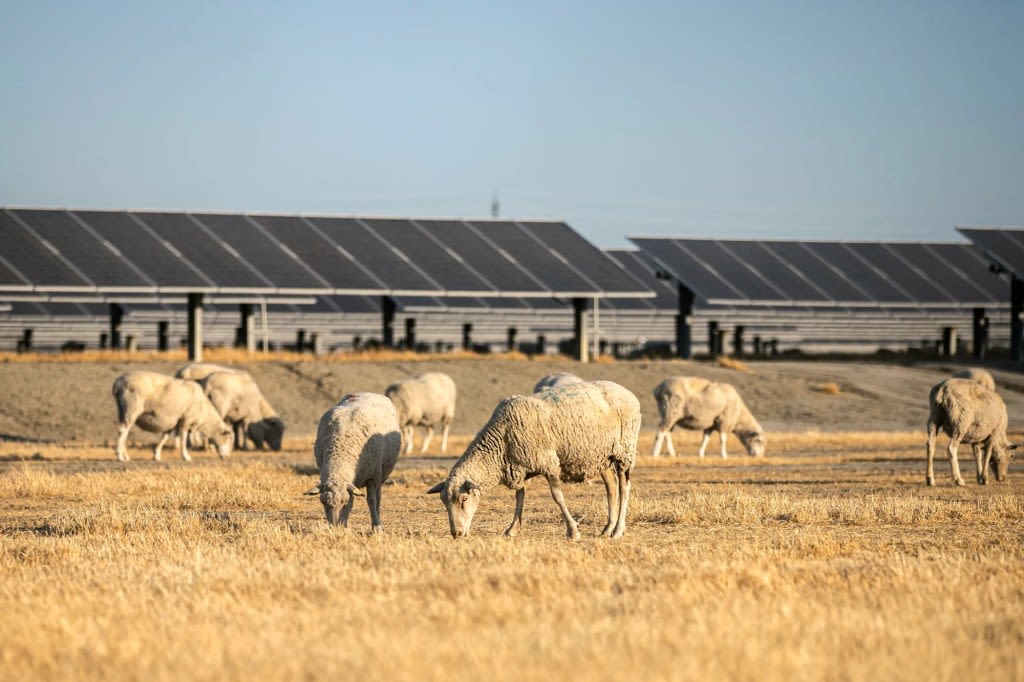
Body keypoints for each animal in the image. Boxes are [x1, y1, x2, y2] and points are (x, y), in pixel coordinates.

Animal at [301, 391, 401, 528]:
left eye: (344, 502)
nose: (334, 526)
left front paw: (376, 527)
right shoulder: (351, 483)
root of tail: (367, 392)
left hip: (381, 474)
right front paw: (344, 525)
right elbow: (352, 501)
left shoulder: (372, 477)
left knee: (378, 498)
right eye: (323, 503)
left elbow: (371, 500)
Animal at [425, 378, 638, 540]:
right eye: (443, 502)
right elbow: (520, 496)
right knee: (611, 488)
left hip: (625, 451)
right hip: (602, 456)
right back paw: (607, 529)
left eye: (464, 499)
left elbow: (557, 497)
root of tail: (628, 392)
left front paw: (573, 531)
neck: (501, 440)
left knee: (624, 488)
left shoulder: (549, 463)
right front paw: (512, 529)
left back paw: (618, 530)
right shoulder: (518, 467)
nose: (457, 534)